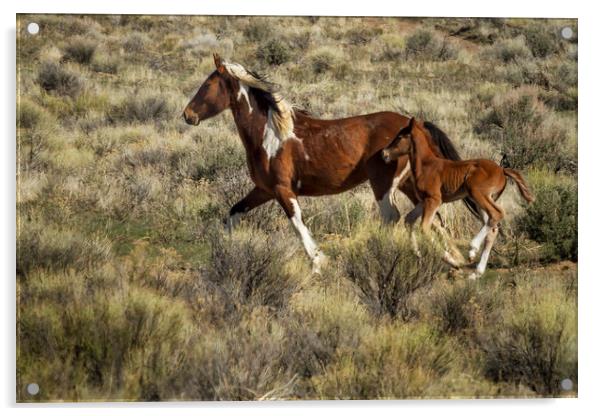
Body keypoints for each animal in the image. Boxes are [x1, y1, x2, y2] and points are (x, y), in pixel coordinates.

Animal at [180, 52, 472, 272]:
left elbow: (297, 224)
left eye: (207, 86)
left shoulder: (283, 190)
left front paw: (319, 262)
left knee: (393, 217)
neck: (269, 134)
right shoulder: (263, 190)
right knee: (433, 216)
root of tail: (415, 124)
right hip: (410, 184)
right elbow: (233, 213)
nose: (187, 115)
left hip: (384, 185)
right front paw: (224, 251)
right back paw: (452, 260)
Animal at [382, 117, 532, 280]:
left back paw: (472, 249)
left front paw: (452, 261)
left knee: (497, 214)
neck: (427, 165)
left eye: (400, 136)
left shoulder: (434, 200)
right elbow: (408, 220)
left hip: (477, 194)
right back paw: (477, 272)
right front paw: (418, 256)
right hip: (480, 201)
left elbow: (424, 227)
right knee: (492, 227)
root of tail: (502, 170)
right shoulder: (423, 201)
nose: (384, 153)